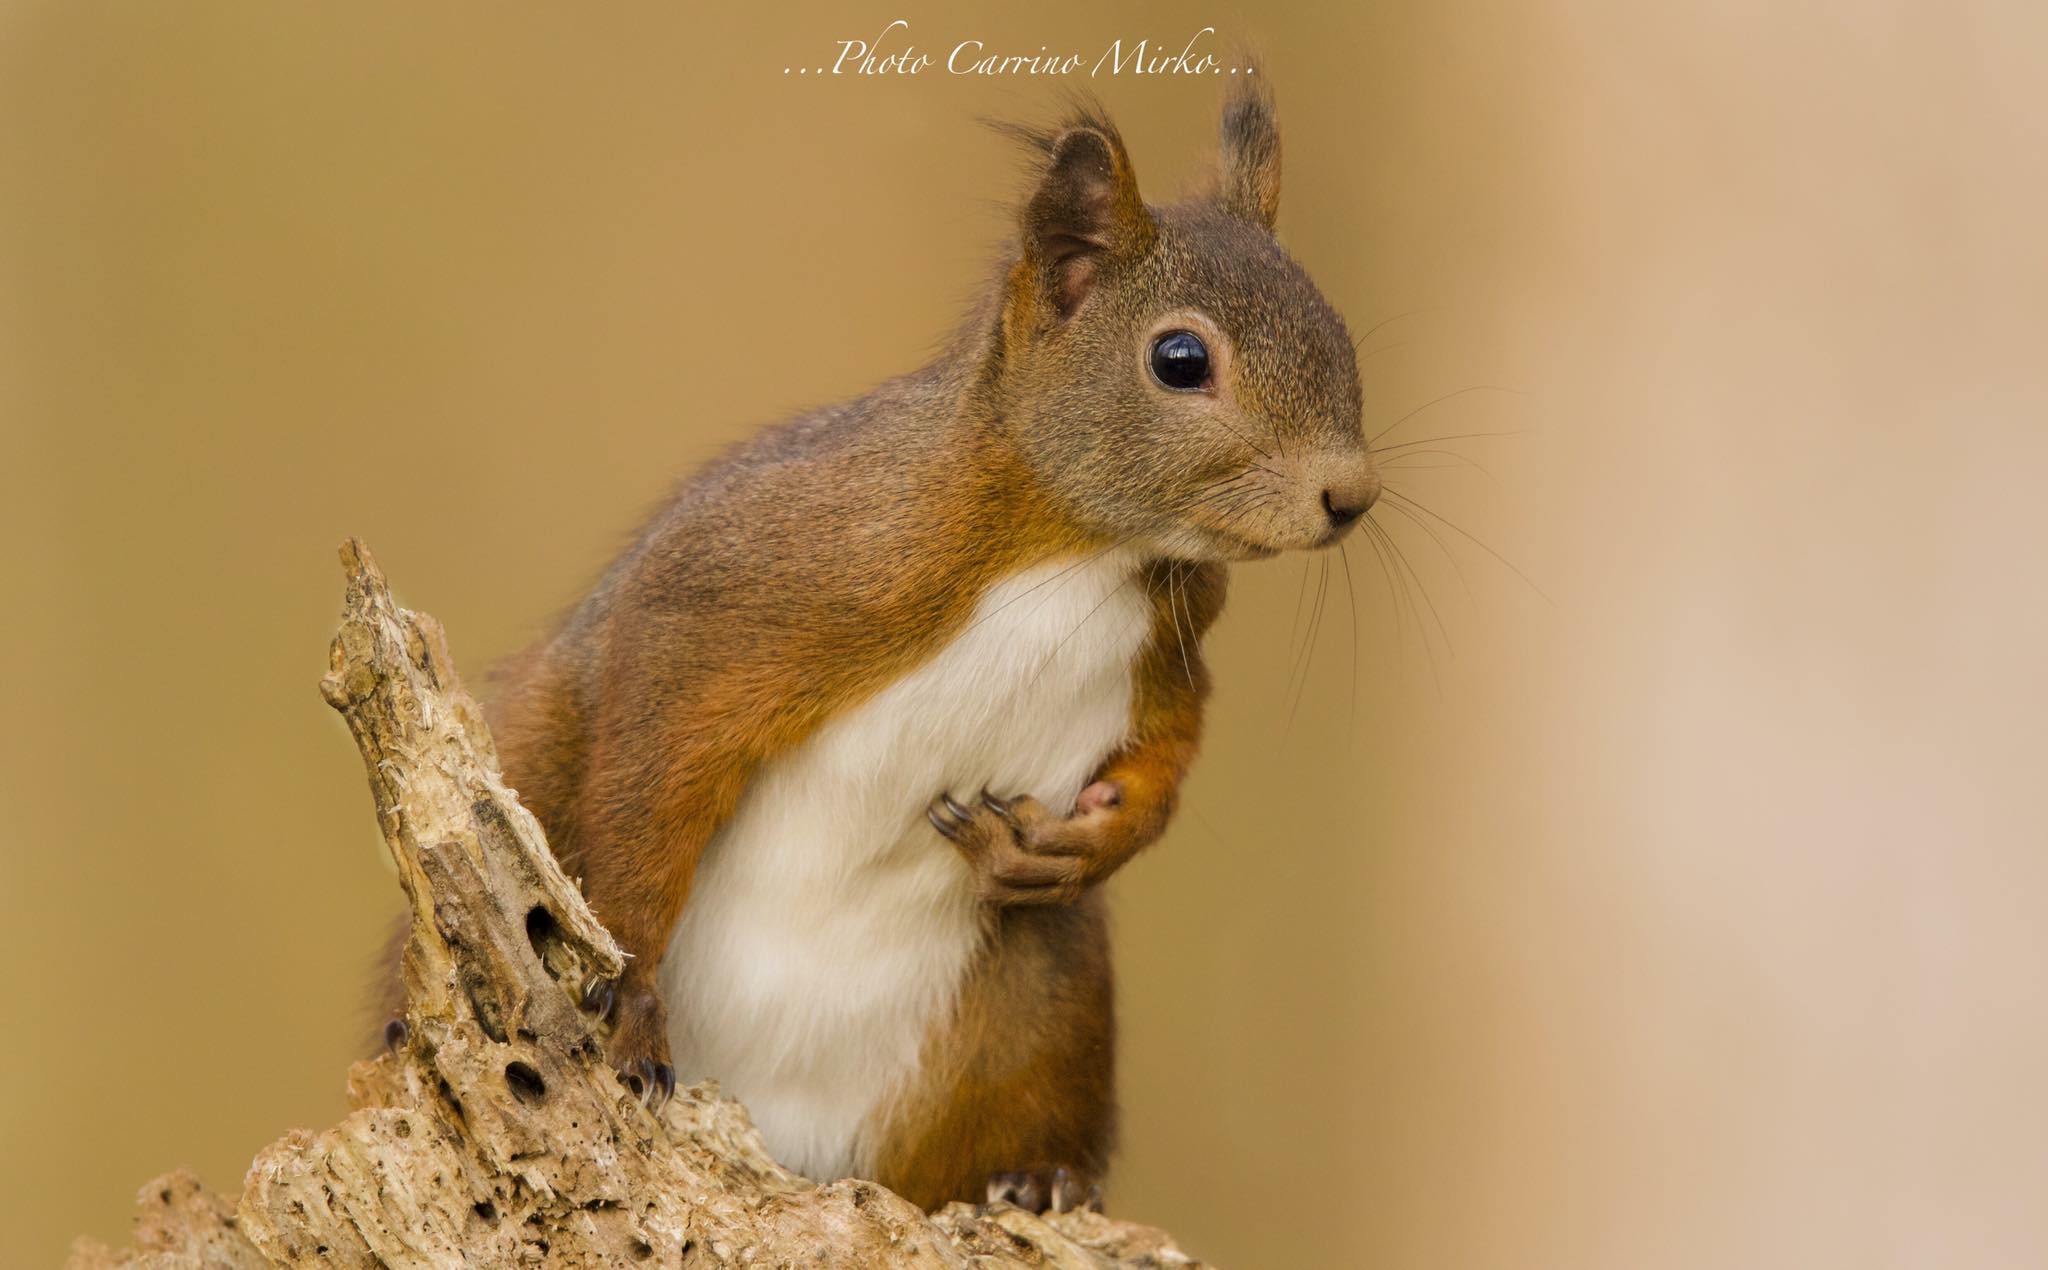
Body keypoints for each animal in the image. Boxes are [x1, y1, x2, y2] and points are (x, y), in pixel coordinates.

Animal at [388, 78, 1379, 1214]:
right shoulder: (754, 582)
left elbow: (1169, 752)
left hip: (1043, 1010)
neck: (1081, 550)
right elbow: (652, 769)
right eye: (1180, 360)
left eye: (1339, 331)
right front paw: (630, 1001)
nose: (1352, 496)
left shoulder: (1170, 649)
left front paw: (1087, 842)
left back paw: (1039, 1175)